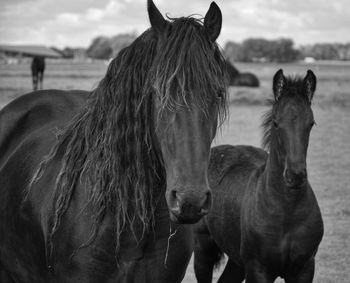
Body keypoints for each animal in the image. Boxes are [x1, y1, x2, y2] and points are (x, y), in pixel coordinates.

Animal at [194, 69, 322, 283]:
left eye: (311, 123)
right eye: (276, 123)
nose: (295, 176)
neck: (287, 211)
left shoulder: (304, 268)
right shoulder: (258, 269)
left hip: (236, 260)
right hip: (204, 247)